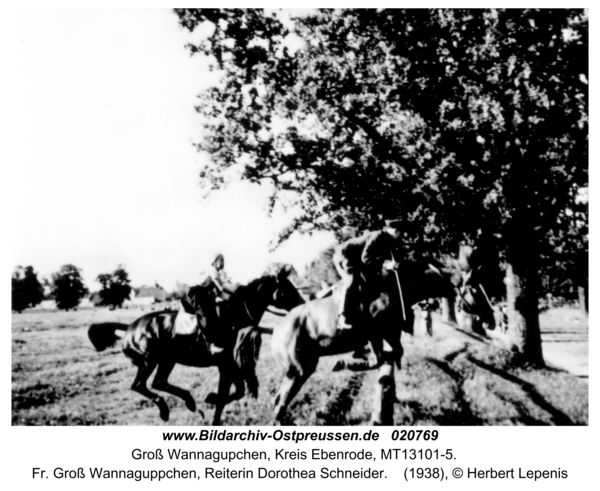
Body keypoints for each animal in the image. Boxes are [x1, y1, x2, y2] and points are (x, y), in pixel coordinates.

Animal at [88, 268, 304, 424]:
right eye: (287, 289)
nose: (302, 305)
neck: (233, 318)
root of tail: (129, 328)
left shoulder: (231, 367)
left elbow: (237, 392)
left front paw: (210, 399)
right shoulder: (225, 367)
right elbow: (226, 397)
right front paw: (212, 401)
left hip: (167, 360)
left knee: (159, 382)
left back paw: (188, 402)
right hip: (149, 361)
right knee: (139, 385)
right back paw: (165, 409)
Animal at [272, 262, 460, 422]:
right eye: (441, 277)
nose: (455, 291)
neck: (393, 288)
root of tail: (278, 328)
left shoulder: (388, 333)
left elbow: (394, 353)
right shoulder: (376, 333)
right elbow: (379, 359)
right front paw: (345, 363)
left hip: (306, 365)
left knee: (279, 397)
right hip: (299, 369)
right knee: (282, 400)